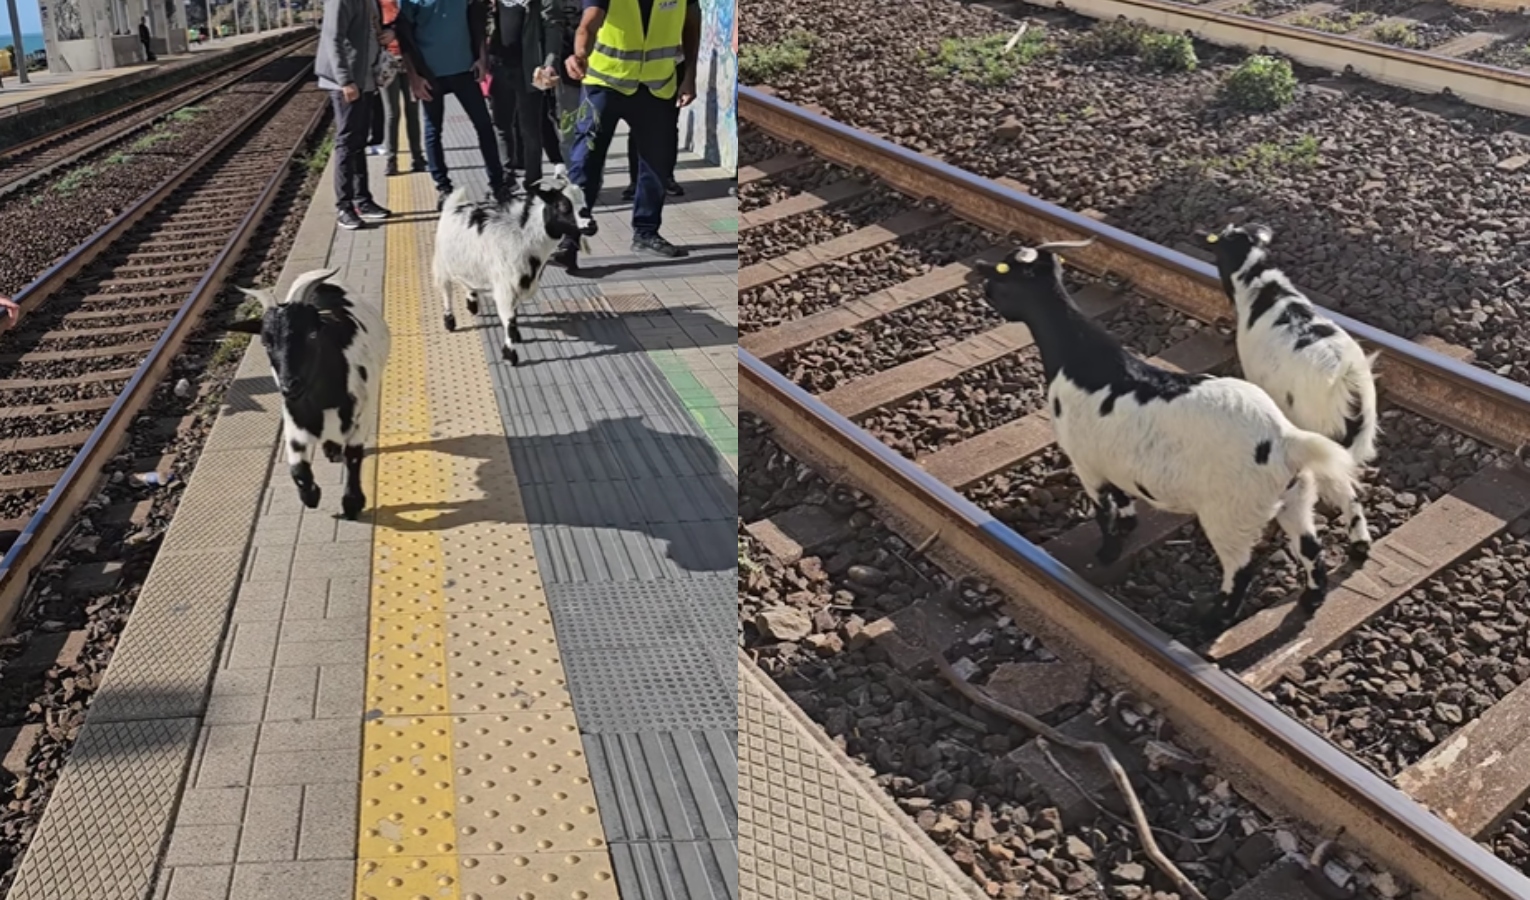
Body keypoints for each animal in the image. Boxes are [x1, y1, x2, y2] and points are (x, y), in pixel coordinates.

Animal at [229, 267, 394, 520]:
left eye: (312, 335)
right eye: (266, 342)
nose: (290, 385)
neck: (323, 401)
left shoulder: (362, 415)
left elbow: (354, 456)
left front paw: (352, 503)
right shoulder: (293, 421)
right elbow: (298, 468)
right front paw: (311, 496)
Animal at [437, 163, 596, 364]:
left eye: (584, 201)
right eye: (562, 205)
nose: (592, 225)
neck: (524, 237)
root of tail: (456, 204)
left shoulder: (517, 283)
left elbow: (515, 313)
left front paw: (517, 338)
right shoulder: (506, 287)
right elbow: (509, 320)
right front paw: (510, 355)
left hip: (469, 263)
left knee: (468, 282)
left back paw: (472, 304)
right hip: (441, 264)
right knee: (446, 291)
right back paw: (449, 320)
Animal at [973, 238, 1358, 633]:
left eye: (1004, 273)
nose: (982, 283)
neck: (1079, 361)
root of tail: (1285, 440)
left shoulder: (1086, 464)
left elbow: (1103, 511)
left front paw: (1107, 553)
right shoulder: (1114, 461)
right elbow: (1122, 497)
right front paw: (1130, 522)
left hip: (1230, 516)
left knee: (1241, 570)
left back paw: (1214, 621)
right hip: (1297, 499)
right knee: (1311, 550)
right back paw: (1311, 602)